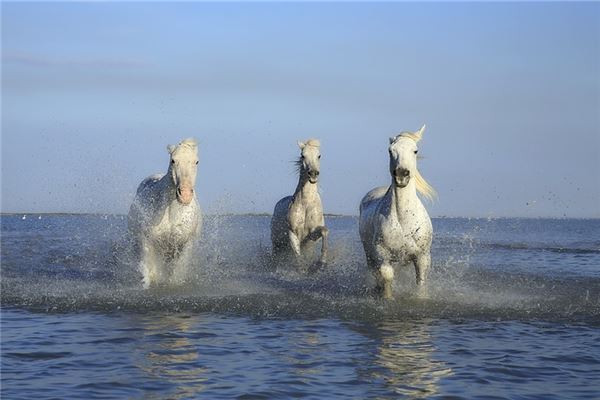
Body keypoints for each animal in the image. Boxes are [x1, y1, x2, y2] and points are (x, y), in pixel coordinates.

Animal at [126, 138, 202, 288]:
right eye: (173, 160)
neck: (172, 213)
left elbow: (177, 272)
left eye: (196, 161)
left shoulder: (185, 244)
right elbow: (150, 271)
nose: (185, 195)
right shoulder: (148, 240)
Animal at [270, 139, 328, 270]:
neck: (306, 204)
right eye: (303, 155)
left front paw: (322, 262)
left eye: (319, 155)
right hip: (277, 243)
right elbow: (297, 256)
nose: (313, 174)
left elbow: (324, 231)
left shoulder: (311, 236)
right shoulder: (293, 233)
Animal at [356, 126, 436, 298]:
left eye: (415, 150)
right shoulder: (383, 254)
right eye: (390, 150)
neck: (404, 219)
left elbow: (421, 282)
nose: (401, 174)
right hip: (369, 254)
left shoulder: (423, 257)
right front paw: (387, 297)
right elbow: (386, 276)